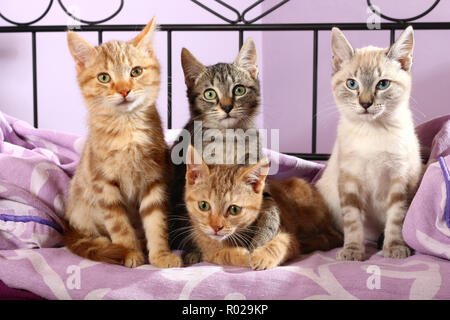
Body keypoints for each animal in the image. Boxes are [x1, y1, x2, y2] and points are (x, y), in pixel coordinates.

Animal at [63, 18, 183, 268]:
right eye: (104, 77)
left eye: (136, 71)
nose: (124, 90)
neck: (127, 130)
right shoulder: (103, 183)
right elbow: (119, 224)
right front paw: (129, 252)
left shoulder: (155, 179)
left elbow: (156, 221)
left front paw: (160, 254)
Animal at [183, 146, 342, 270]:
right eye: (203, 205)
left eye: (234, 209)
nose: (216, 227)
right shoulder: (207, 250)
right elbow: (220, 255)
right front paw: (240, 256)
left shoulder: (286, 234)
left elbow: (282, 243)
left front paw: (262, 256)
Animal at [314, 27, 424, 262]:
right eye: (352, 84)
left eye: (382, 84)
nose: (365, 103)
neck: (373, 131)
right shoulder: (349, 178)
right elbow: (353, 221)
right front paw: (352, 251)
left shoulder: (400, 179)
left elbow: (396, 219)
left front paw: (395, 248)